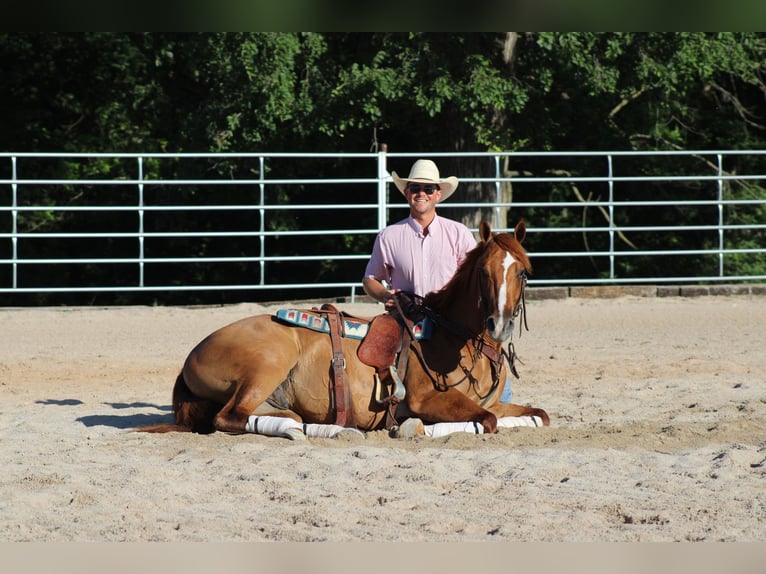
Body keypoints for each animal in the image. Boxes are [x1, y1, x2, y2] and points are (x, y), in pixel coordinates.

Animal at [142, 220, 552, 440]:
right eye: (483, 272)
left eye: (522, 272)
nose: (498, 324)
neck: (453, 339)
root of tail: (192, 355)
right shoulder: (426, 400)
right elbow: (487, 421)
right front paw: (412, 428)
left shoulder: (492, 401)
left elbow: (537, 415)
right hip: (267, 363)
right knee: (228, 418)